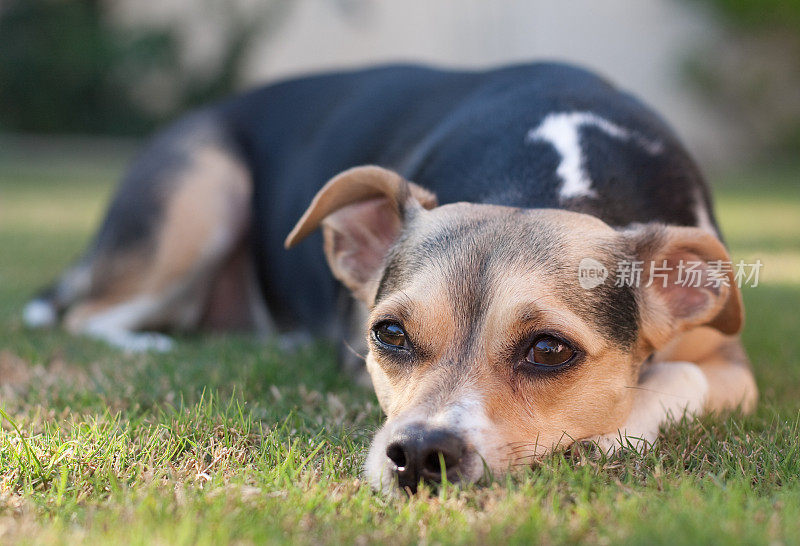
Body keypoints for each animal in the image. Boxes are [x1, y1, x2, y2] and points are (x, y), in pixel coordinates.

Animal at [25, 61, 760, 490]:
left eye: (550, 350)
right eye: (390, 335)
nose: (419, 455)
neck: (549, 176)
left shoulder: (733, 364)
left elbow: (680, 373)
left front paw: (613, 428)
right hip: (201, 197)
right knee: (84, 314)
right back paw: (149, 342)